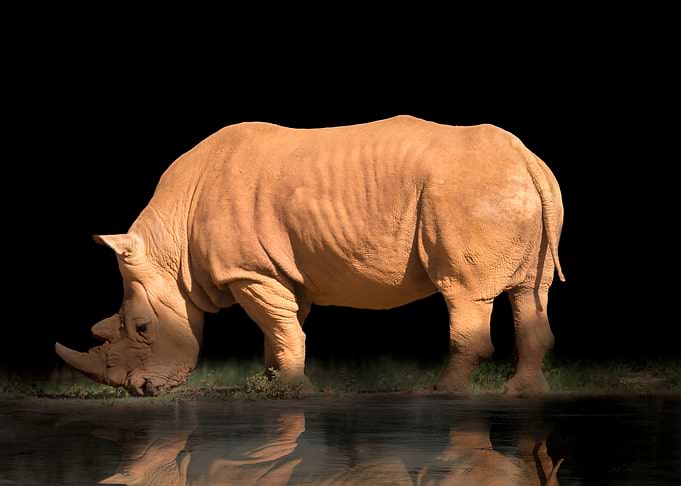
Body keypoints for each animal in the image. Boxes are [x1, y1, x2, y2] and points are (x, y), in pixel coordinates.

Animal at [56, 115, 565, 396]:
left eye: (143, 328)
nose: (140, 391)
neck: (171, 248)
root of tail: (526, 157)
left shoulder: (249, 272)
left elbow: (280, 326)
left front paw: (292, 390)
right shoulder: (277, 272)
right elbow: (283, 327)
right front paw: (272, 384)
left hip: (467, 193)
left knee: (462, 293)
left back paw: (440, 393)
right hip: (523, 191)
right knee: (530, 292)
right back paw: (524, 393)